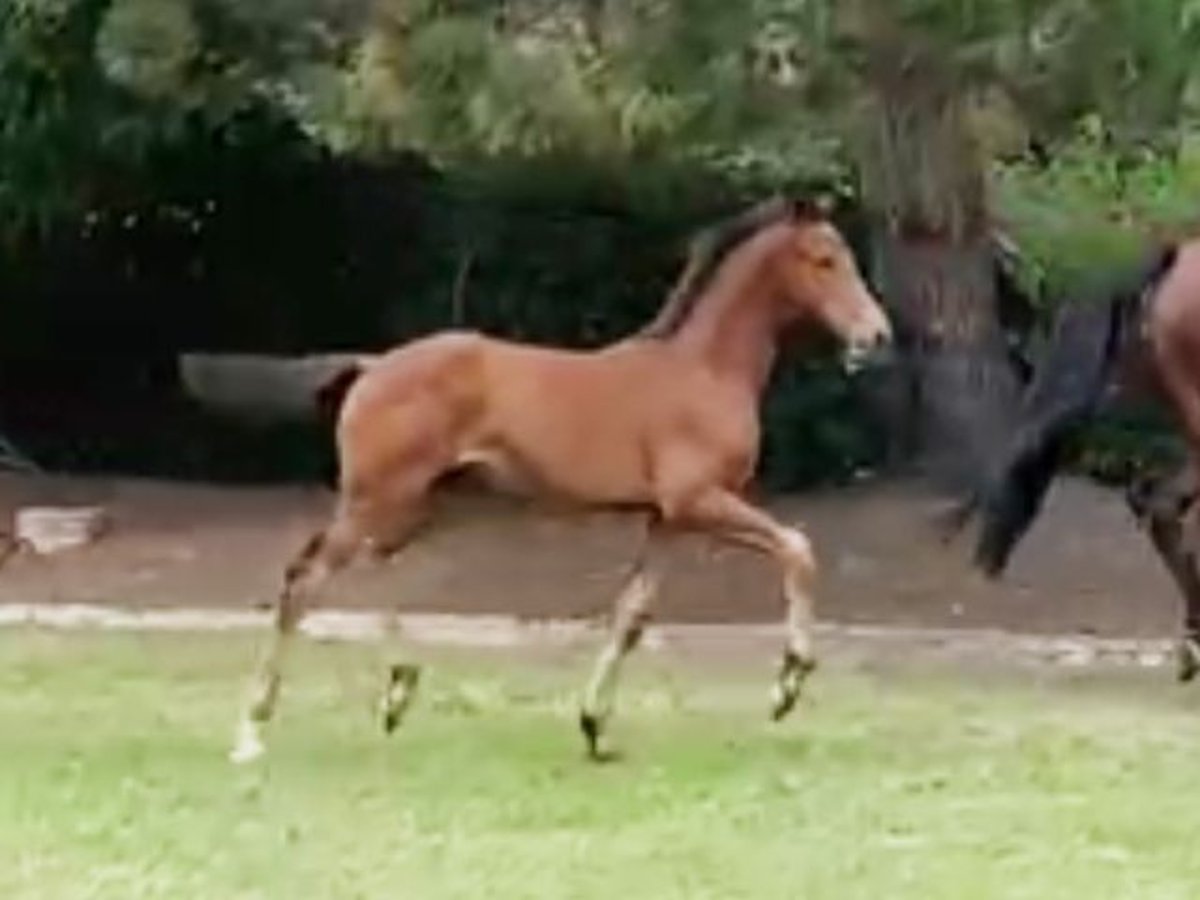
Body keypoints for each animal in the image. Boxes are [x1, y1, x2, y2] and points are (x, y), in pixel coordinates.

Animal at [231, 194, 892, 763]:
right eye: (825, 259)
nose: (877, 336)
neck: (704, 371)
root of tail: (369, 367)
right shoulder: (700, 500)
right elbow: (798, 547)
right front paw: (788, 682)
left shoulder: (668, 520)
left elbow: (631, 615)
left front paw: (594, 725)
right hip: (380, 498)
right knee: (306, 577)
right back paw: (255, 731)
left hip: (419, 504)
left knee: (367, 567)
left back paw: (398, 689)